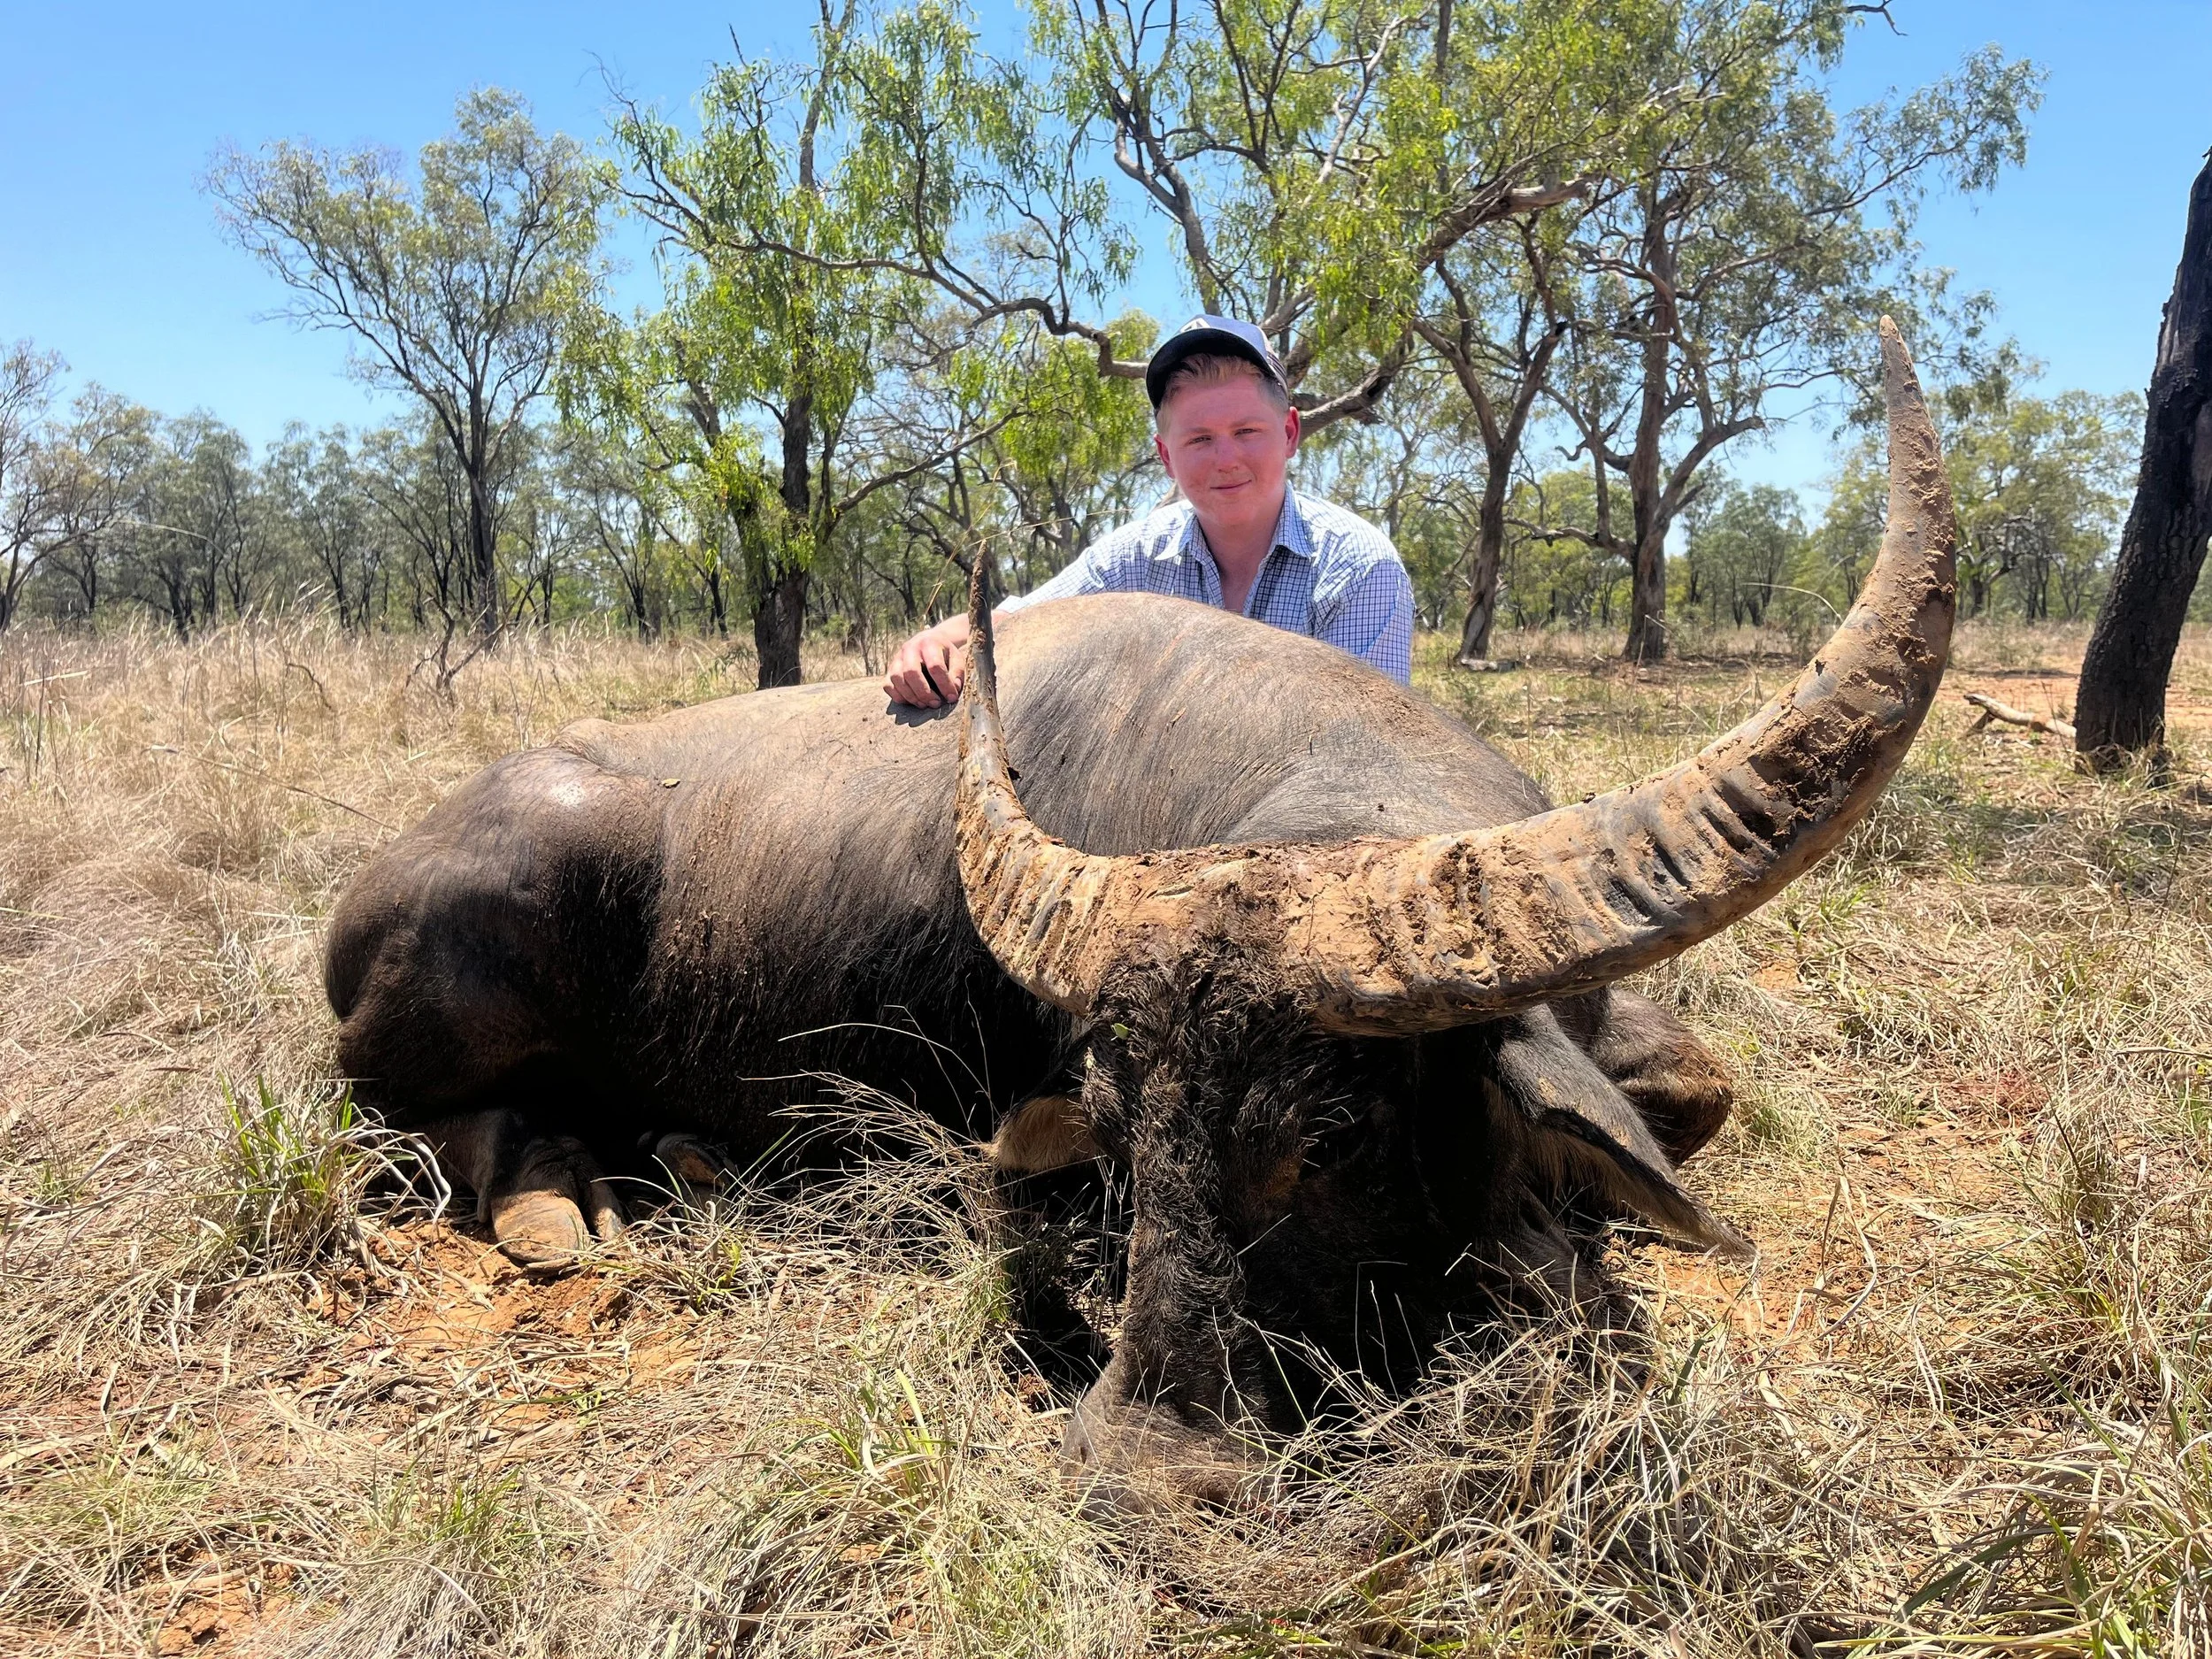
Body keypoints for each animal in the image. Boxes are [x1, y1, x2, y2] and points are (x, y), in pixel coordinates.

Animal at [326, 321, 1955, 1504]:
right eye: (1119, 1137)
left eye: (1331, 1138)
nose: (1141, 1466)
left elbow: (1694, 1091)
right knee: (420, 1122)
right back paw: (569, 1202)